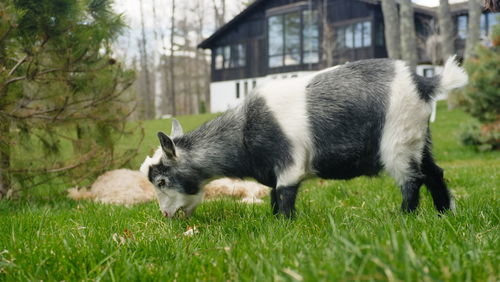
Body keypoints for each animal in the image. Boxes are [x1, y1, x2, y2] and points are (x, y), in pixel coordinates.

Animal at [140, 57, 468, 219]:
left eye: (162, 181)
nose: (166, 214)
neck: (244, 131)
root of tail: (424, 83)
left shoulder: (289, 165)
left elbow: (284, 195)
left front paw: (284, 225)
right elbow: (274, 195)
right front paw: (273, 221)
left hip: (397, 141)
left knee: (412, 180)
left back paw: (404, 218)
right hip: (418, 139)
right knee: (434, 173)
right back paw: (444, 214)